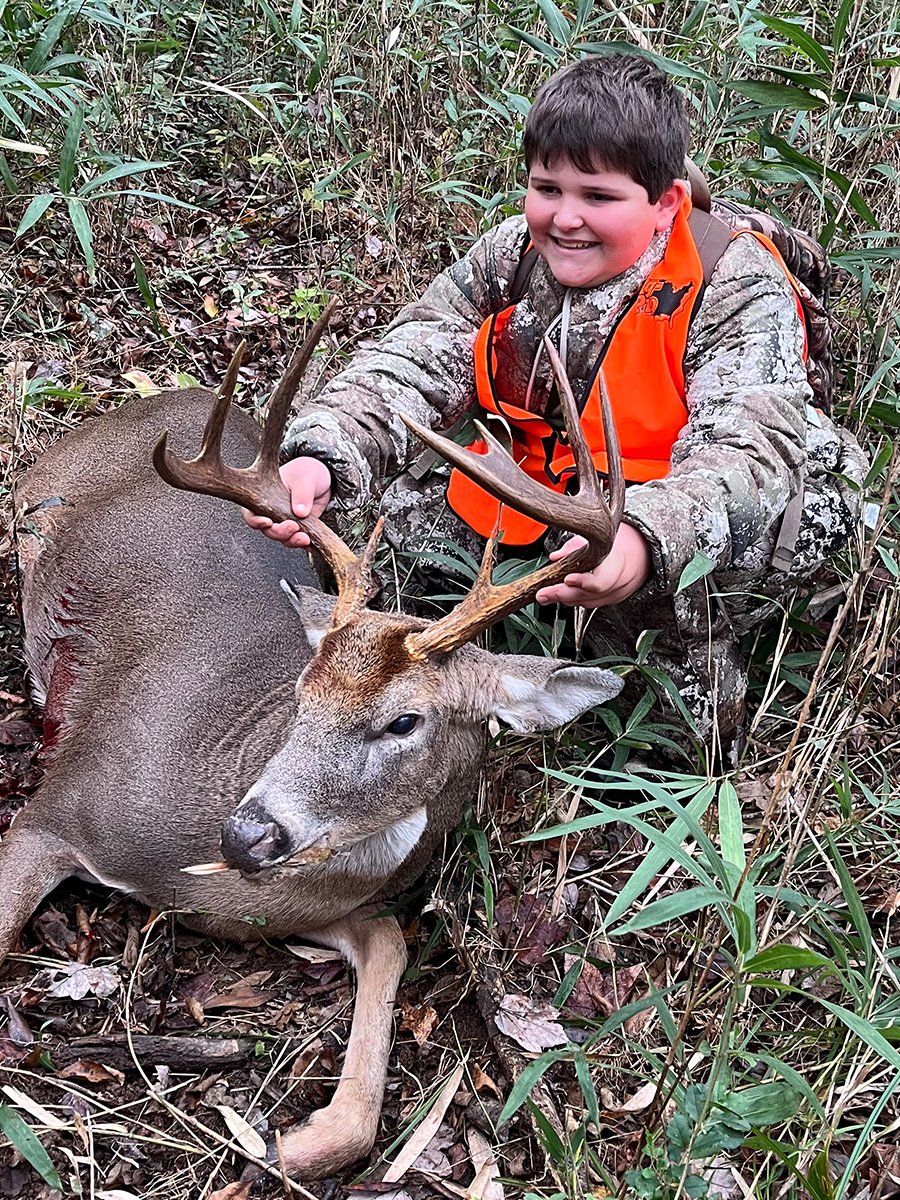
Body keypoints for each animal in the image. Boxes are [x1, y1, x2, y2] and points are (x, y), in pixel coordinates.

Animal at [3, 304, 625, 1182]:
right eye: (303, 692)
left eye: (404, 721)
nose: (245, 835)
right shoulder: (55, 807)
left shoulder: (295, 904)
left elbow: (390, 945)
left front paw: (288, 1139)